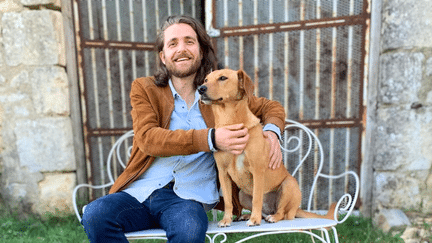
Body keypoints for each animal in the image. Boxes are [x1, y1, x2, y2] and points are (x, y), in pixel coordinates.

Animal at [197, 69, 336, 227]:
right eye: (206, 79)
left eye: (222, 78)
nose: (200, 89)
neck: (229, 121)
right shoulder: (223, 173)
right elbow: (227, 202)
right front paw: (227, 219)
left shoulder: (257, 170)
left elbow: (257, 198)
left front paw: (254, 220)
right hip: (242, 194)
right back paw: (248, 215)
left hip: (288, 185)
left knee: (283, 213)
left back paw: (271, 217)